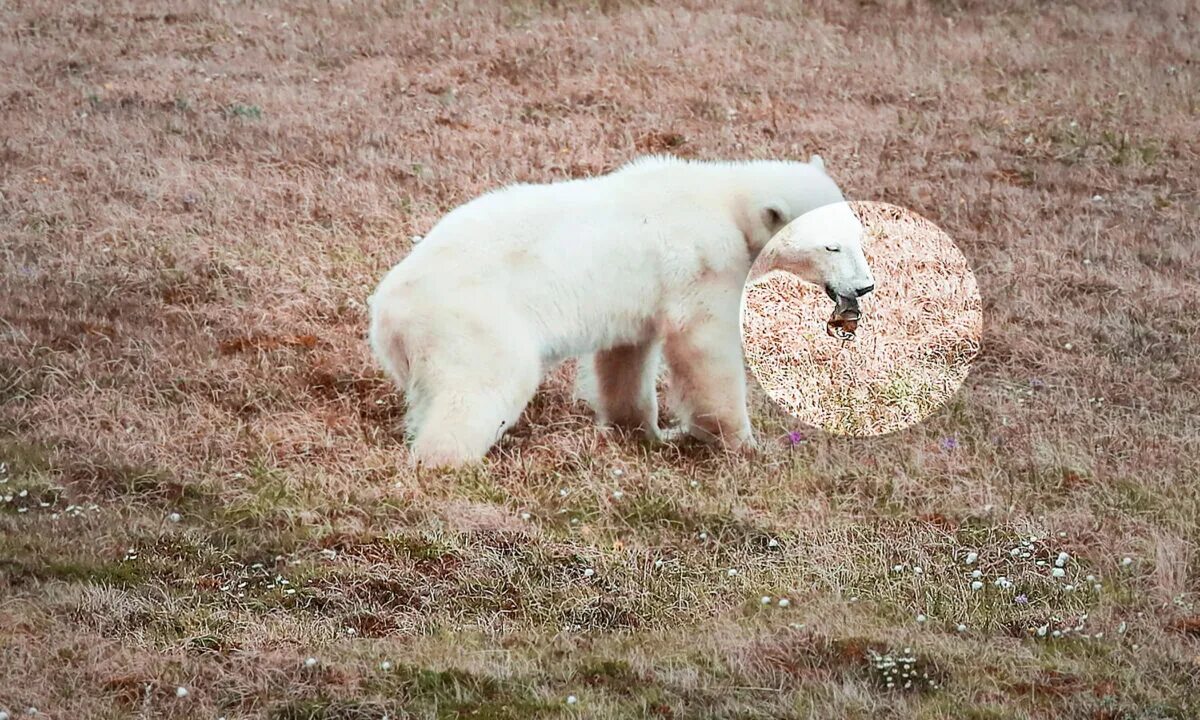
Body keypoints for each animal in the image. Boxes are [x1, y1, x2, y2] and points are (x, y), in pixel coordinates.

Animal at [364, 154, 873, 468]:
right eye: (831, 246)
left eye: (856, 232)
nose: (864, 287)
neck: (724, 200)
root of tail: (388, 312)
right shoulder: (704, 267)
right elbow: (706, 350)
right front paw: (743, 444)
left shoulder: (639, 294)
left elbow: (625, 356)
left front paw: (643, 431)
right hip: (474, 320)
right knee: (481, 387)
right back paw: (447, 462)